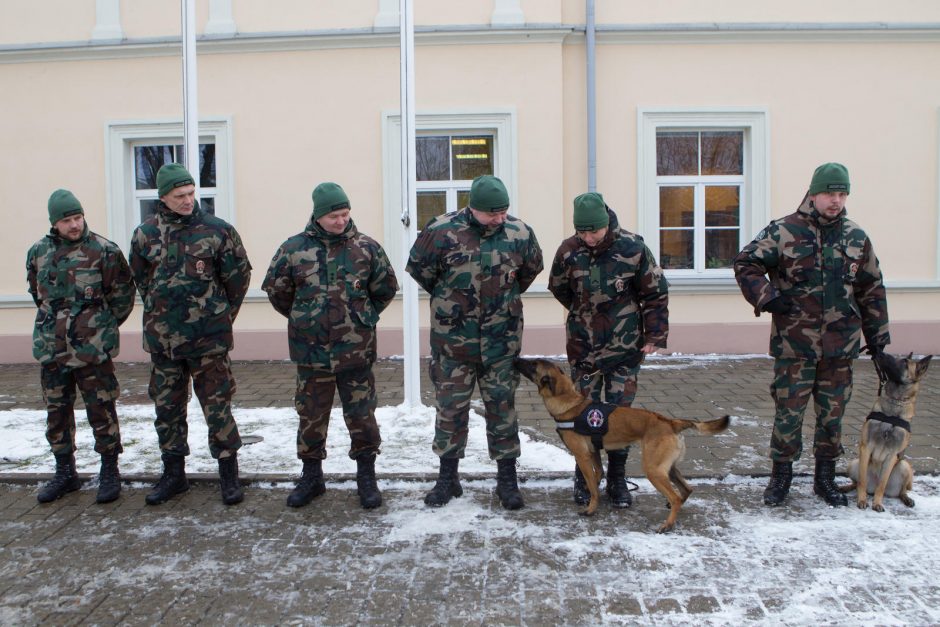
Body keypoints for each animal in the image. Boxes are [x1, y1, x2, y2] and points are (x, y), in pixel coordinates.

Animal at [516, 360, 728, 532]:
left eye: (533, 365)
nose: (517, 358)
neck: (567, 401)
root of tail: (670, 422)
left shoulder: (582, 456)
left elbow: (592, 484)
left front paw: (591, 509)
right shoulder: (593, 452)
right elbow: (598, 475)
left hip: (653, 469)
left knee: (676, 496)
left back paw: (668, 524)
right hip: (668, 468)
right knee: (686, 490)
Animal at [840, 350, 928, 512]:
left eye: (905, 362)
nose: (882, 354)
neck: (894, 402)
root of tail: (872, 488)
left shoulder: (892, 454)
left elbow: (882, 483)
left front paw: (877, 503)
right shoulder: (866, 447)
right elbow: (861, 480)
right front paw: (862, 500)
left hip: (905, 466)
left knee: (900, 491)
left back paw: (907, 499)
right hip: (854, 463)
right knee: (856, 483)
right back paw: (845, 488)